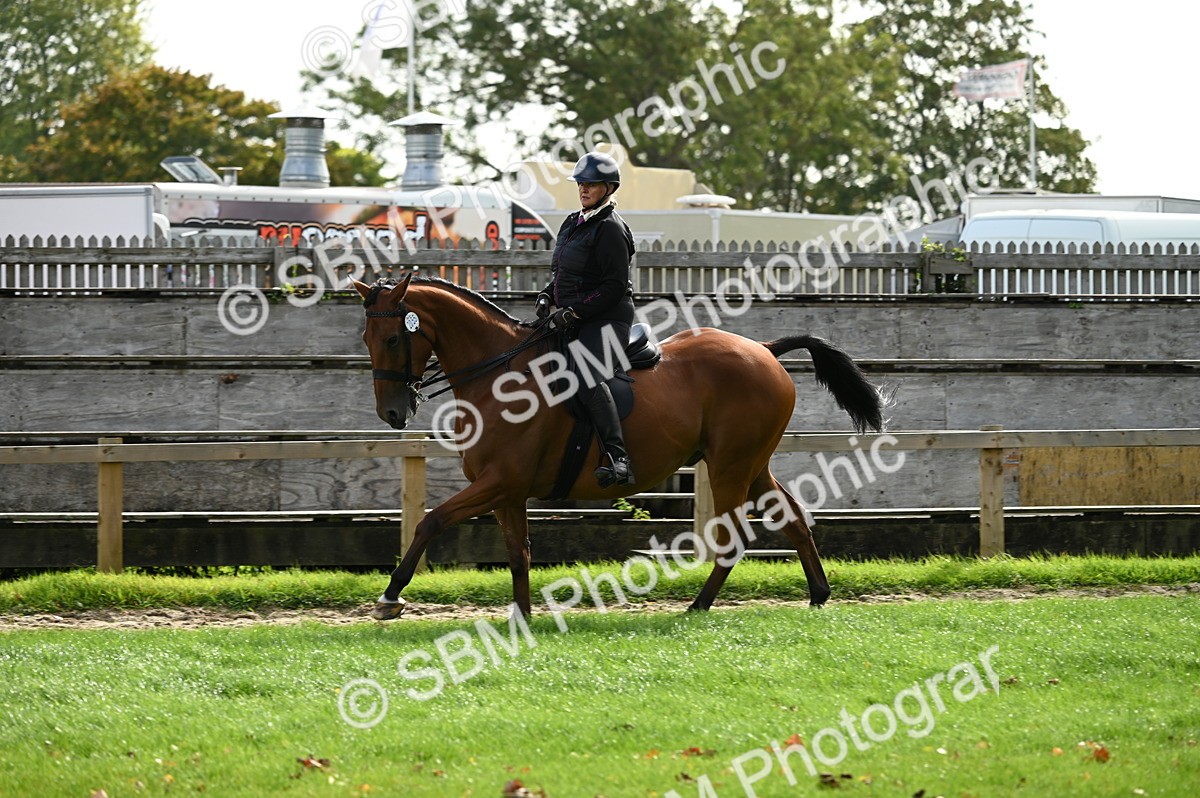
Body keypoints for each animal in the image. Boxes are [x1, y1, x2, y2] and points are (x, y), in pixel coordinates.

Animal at [353, 272, 884, 620]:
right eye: (366, 336)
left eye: (395, 338)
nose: (392, 414)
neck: (499, 375)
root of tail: (765, 351)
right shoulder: (507, 492)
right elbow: (518, 552)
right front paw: (521, 618)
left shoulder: (500, 482)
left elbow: (430, 521)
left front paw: (390, 597)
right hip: (750, 465)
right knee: (792, 516)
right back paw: (817, 593)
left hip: (730, 466)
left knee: (733, 538)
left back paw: (699, 605)